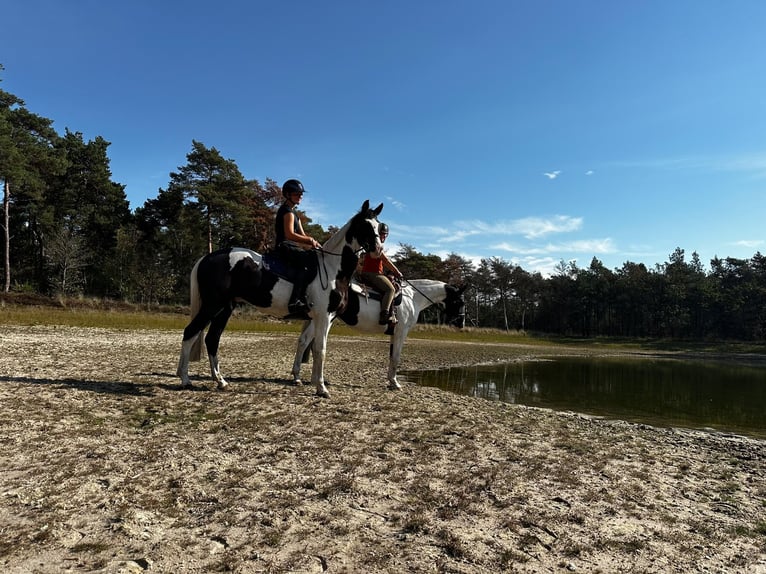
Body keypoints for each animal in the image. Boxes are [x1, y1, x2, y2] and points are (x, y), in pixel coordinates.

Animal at [176, 200, 384, 398]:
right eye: (365, 225)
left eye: (378, 225)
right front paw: (321, 388)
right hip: (213, 305)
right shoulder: (323, 316)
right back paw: (186, 380)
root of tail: (208, 257)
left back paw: (220, 381)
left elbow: (313, 347)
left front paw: (311, 382)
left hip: (224, 308)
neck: (333, 269)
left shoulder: (327, 317)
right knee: (190, 333)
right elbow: (320, 349)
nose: (378, 250)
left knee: (212, 339)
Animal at [291, 279, 467, 390]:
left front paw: (391, 381)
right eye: (460, 302)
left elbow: (392, 356)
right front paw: (395, 383)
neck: (413, 298)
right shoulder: (401, 331)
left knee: (306, 342)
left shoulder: (394, 333)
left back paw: (303, 377)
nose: (461, 323)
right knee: (311, 343)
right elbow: (396, 357)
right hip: (325, 318)